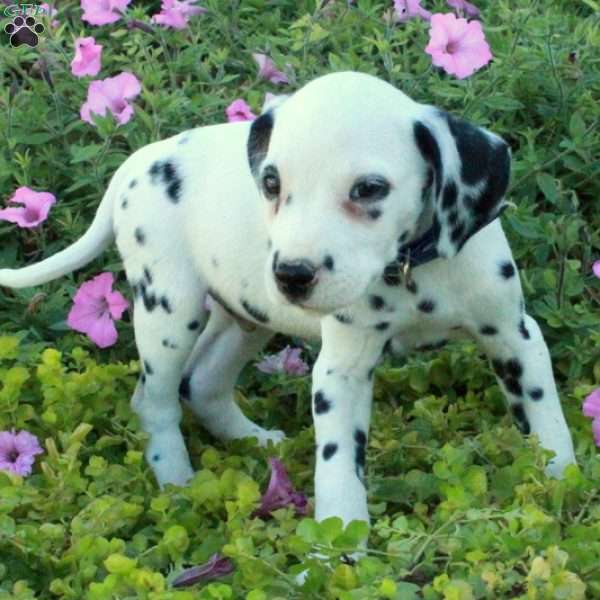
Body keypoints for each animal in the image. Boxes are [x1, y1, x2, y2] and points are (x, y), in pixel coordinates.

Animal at [0, 71, 576, 528]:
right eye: (272, 182)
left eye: (369, 188)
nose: (292, 274)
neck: (410, 270)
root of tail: (136, 162)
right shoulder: (340, 375)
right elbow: (340, 467)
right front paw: (340, 551)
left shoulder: (516, 339)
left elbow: (547, 422)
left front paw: (563, 484)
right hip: (169, 312)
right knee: (156, 400)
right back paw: (178, 483)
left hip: (245, 317)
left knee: (201, 384)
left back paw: (257, 442)